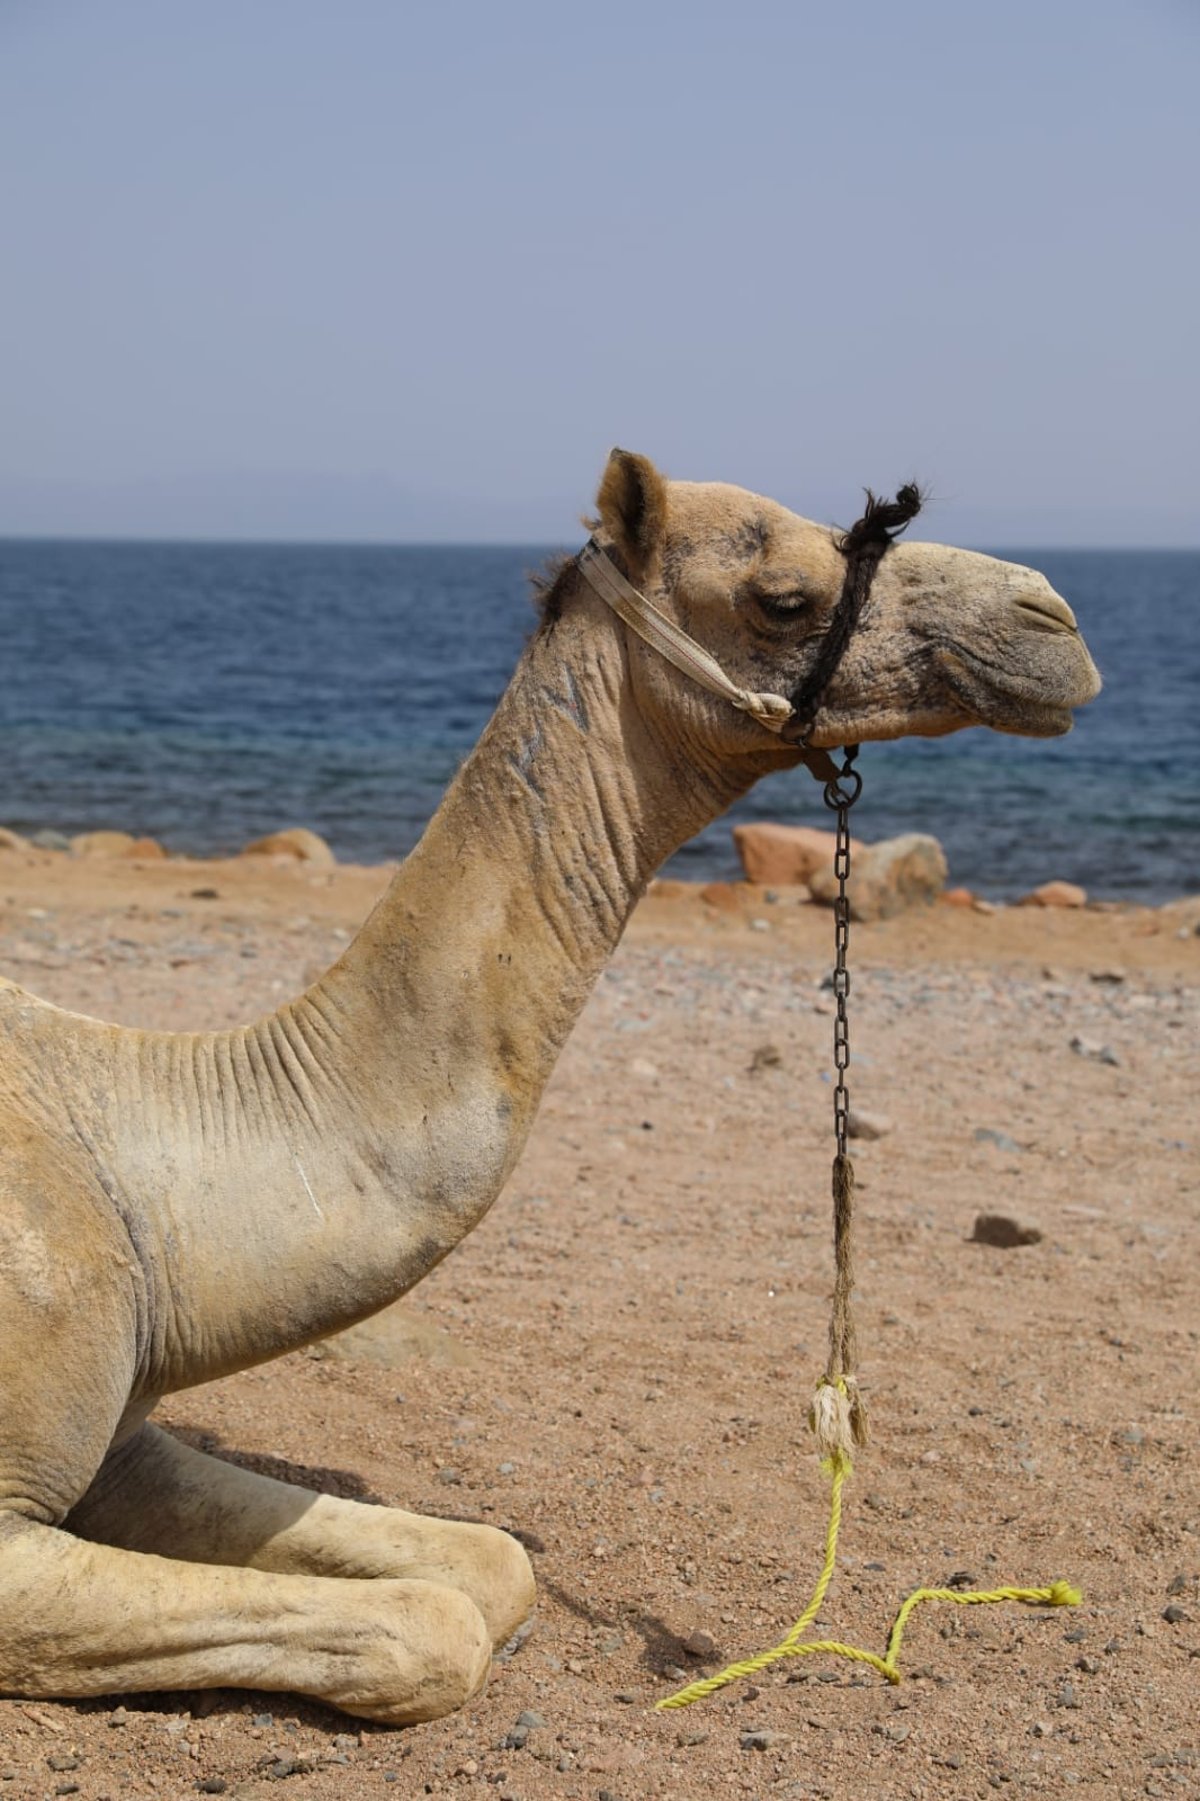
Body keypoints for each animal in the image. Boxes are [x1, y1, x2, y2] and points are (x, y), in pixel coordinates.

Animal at [0, 450, 1095, 1714]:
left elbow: (495, 1566)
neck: (143, 1159)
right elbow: (431, 1626)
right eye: (783, 594)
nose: (1051, 619)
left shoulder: (126, 1439)